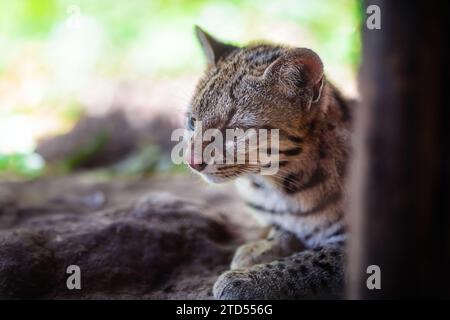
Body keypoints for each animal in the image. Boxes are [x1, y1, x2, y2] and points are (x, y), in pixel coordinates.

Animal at [185, 26, 354, 298]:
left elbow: (311, 261)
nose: (191, 161)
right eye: (192, 122)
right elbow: (285, 230)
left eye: (234, 130)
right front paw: (262, 248)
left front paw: (245, 281)